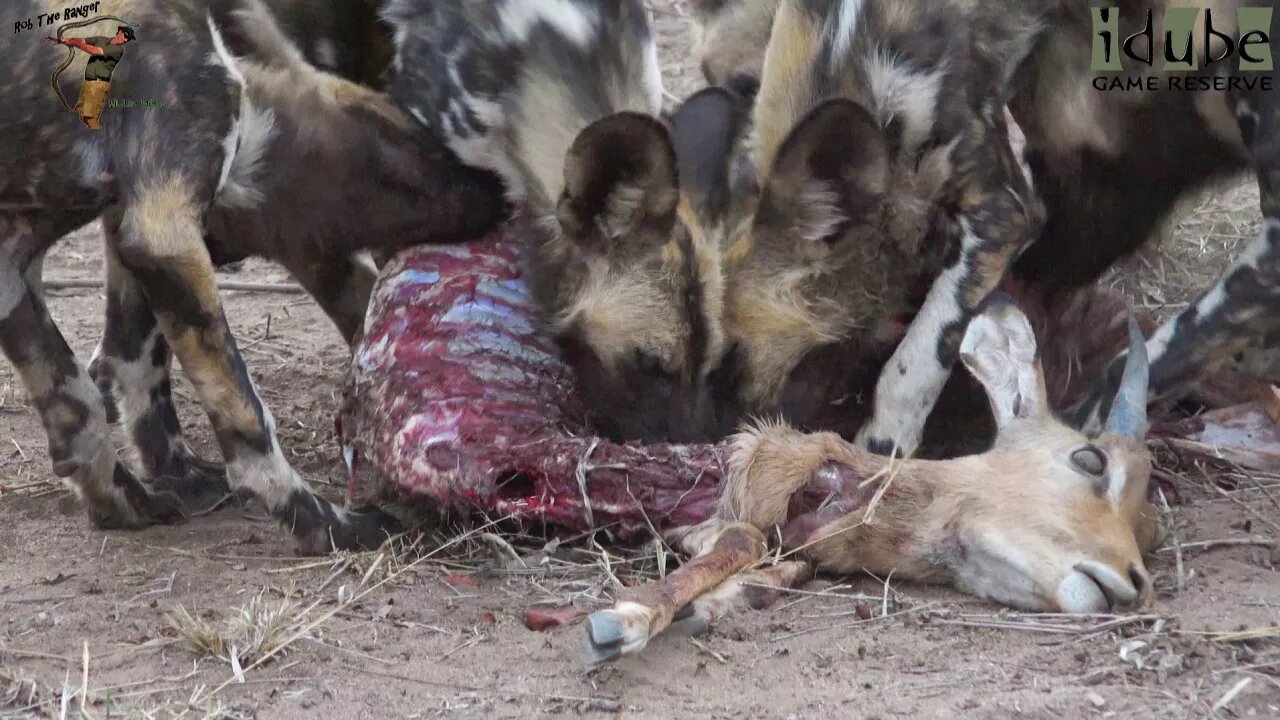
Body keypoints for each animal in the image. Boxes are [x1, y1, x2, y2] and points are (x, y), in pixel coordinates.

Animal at [0, 0, 509, 548]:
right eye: (406, 154)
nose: (500, 188)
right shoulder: (162, 234)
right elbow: (247, 418)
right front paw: (324, 523)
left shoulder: (20, 264)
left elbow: (84, 400)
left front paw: (126, 498)